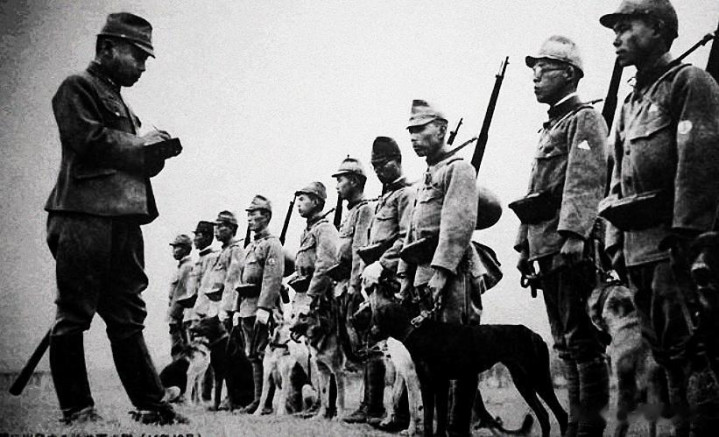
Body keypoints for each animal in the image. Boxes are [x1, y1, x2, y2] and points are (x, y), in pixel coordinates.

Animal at [369, 289, 567, 437]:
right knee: (544, 416)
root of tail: (537, 336)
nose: (370, 333)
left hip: (539, 377)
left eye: (376, 318)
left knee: (561, 414)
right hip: (523, 381)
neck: (419, 332)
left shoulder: (440, 383)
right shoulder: (426, 383)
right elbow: (427, 418)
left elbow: (437, 419)